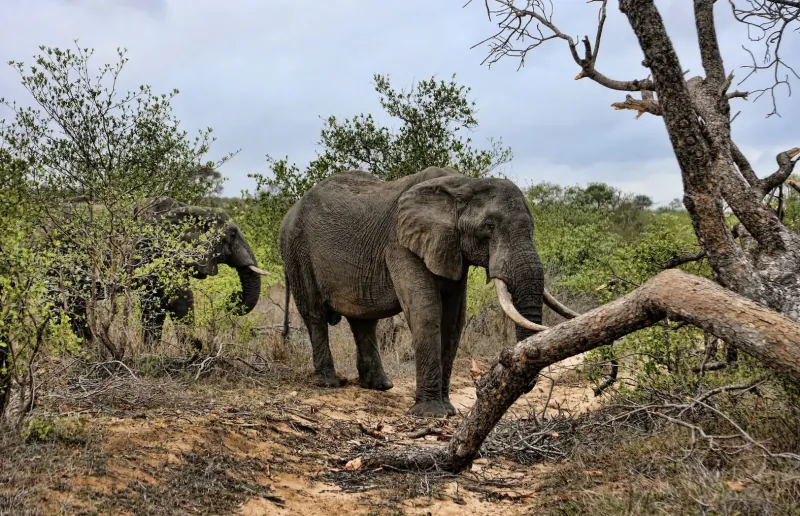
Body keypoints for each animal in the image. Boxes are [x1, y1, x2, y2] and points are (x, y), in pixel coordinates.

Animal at [55, 197, 268, 350]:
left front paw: (150, 352)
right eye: (231, 235)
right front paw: (195, 350)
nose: (233, 297)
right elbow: (178, 297)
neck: (193, 208)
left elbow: (155, 302)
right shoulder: (155, 249)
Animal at [279, 166, 576, 417]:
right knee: (315, 314)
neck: (463, 184)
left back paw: (379, 385)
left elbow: (453, 321)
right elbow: (426, 311)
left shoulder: (453, 250)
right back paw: (329, 382)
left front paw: (448, 411)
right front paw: (432, 414)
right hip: (297, 251)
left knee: (363, 320)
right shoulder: (400, 244)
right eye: (489, 227)